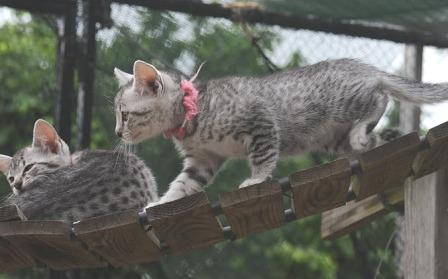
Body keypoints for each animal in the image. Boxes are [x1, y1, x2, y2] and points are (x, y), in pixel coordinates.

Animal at [113, 59, 448, 207]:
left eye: (124, 115)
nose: (117, 133)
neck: (193, 113)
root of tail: (363, 66)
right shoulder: (203, 160)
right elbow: (184, 184)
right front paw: (162, 202)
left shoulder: (260, 120)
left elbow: (263, 156)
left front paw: (257, 179)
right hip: (336, 138)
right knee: (372, 133)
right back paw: (372, 140)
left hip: (346, 100)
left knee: (381, 96)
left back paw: (365, 126)